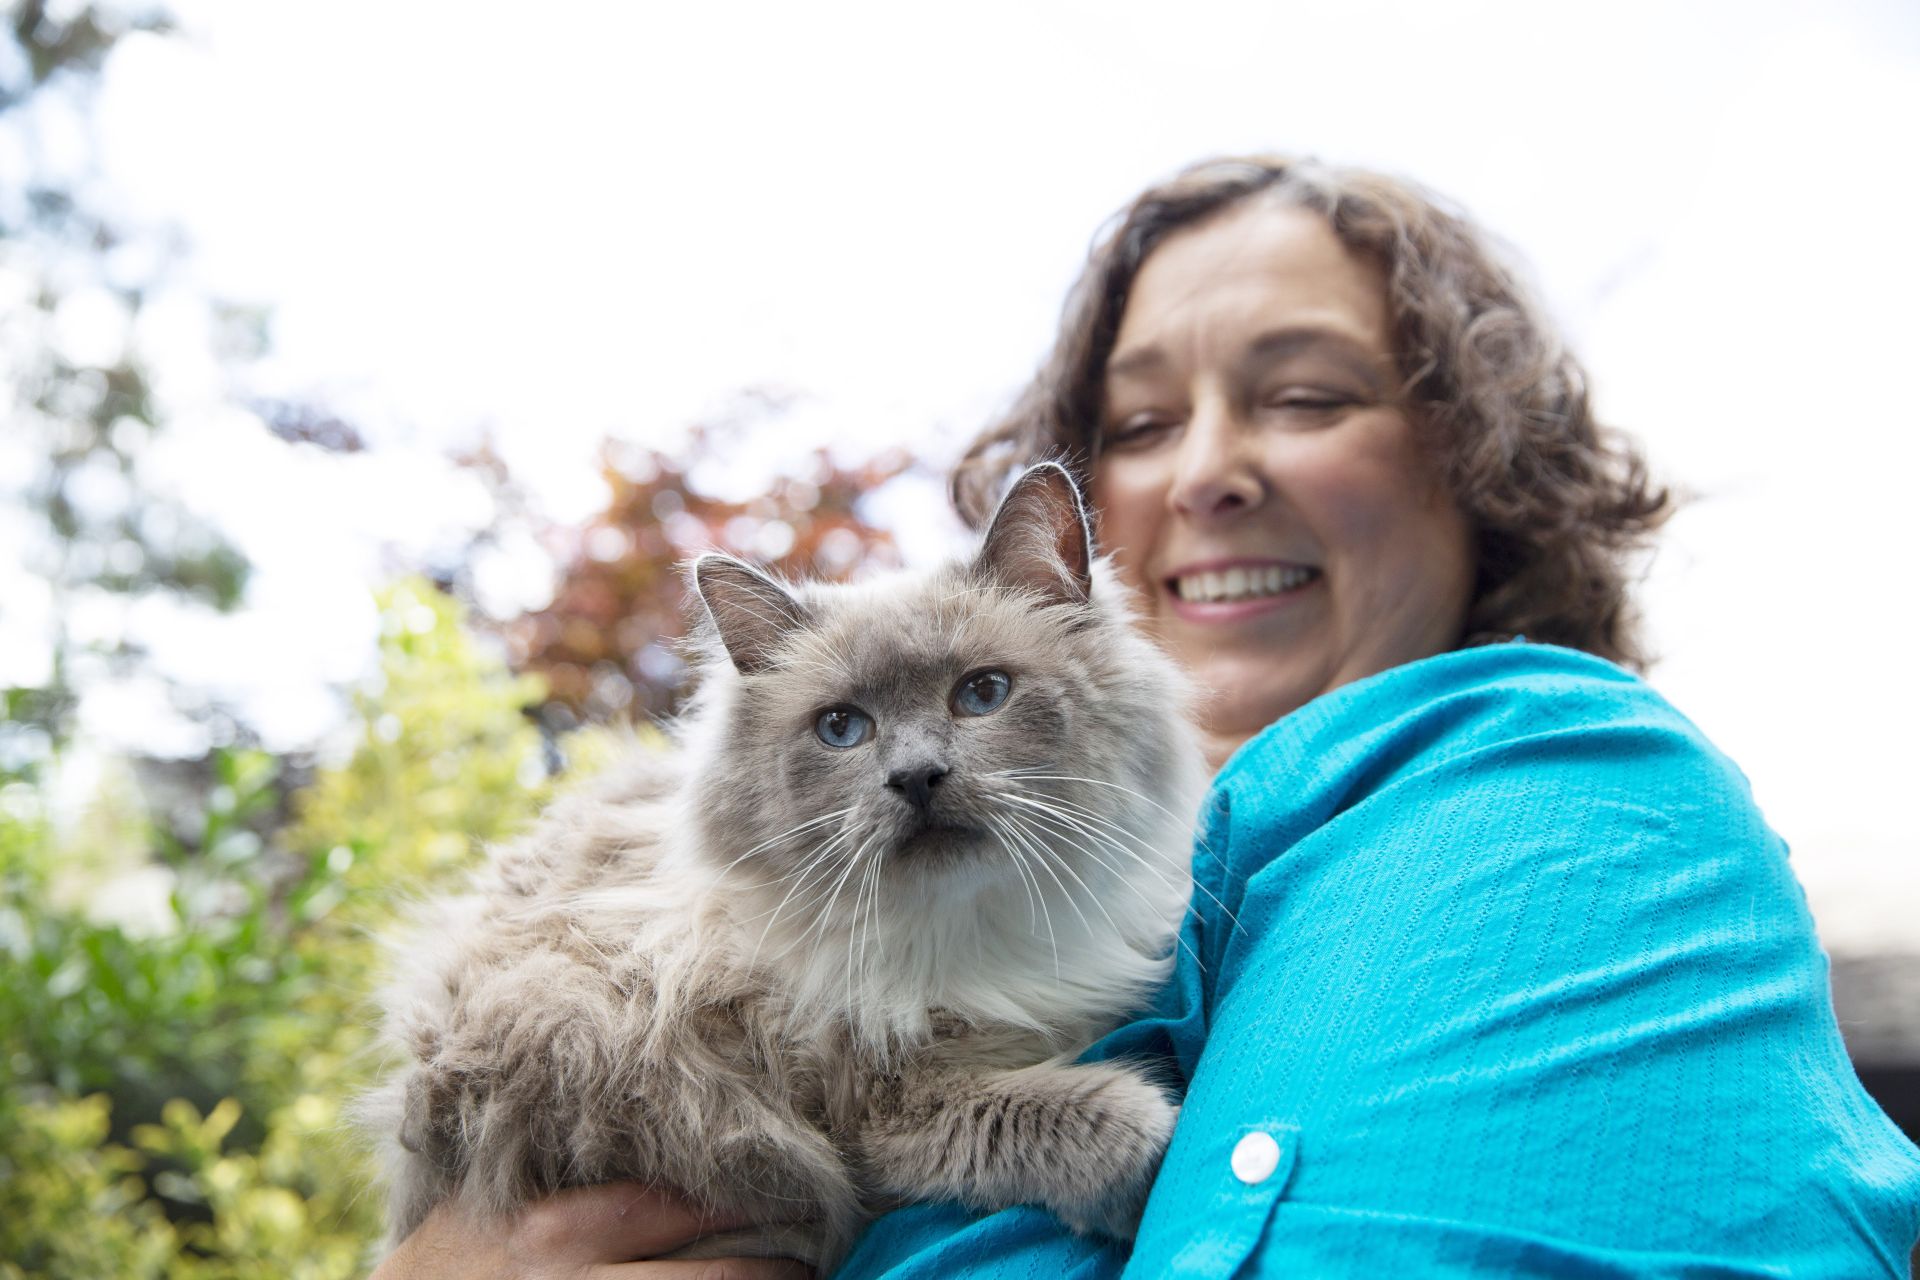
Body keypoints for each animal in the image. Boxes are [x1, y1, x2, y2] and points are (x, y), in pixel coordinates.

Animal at [360, 462, 1198, 1274]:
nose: (916, 777)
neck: (961, 932)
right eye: (842, 729)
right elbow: (1086, 1118)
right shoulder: (871, 1114)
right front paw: (1152, 1157)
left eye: (982, 694)